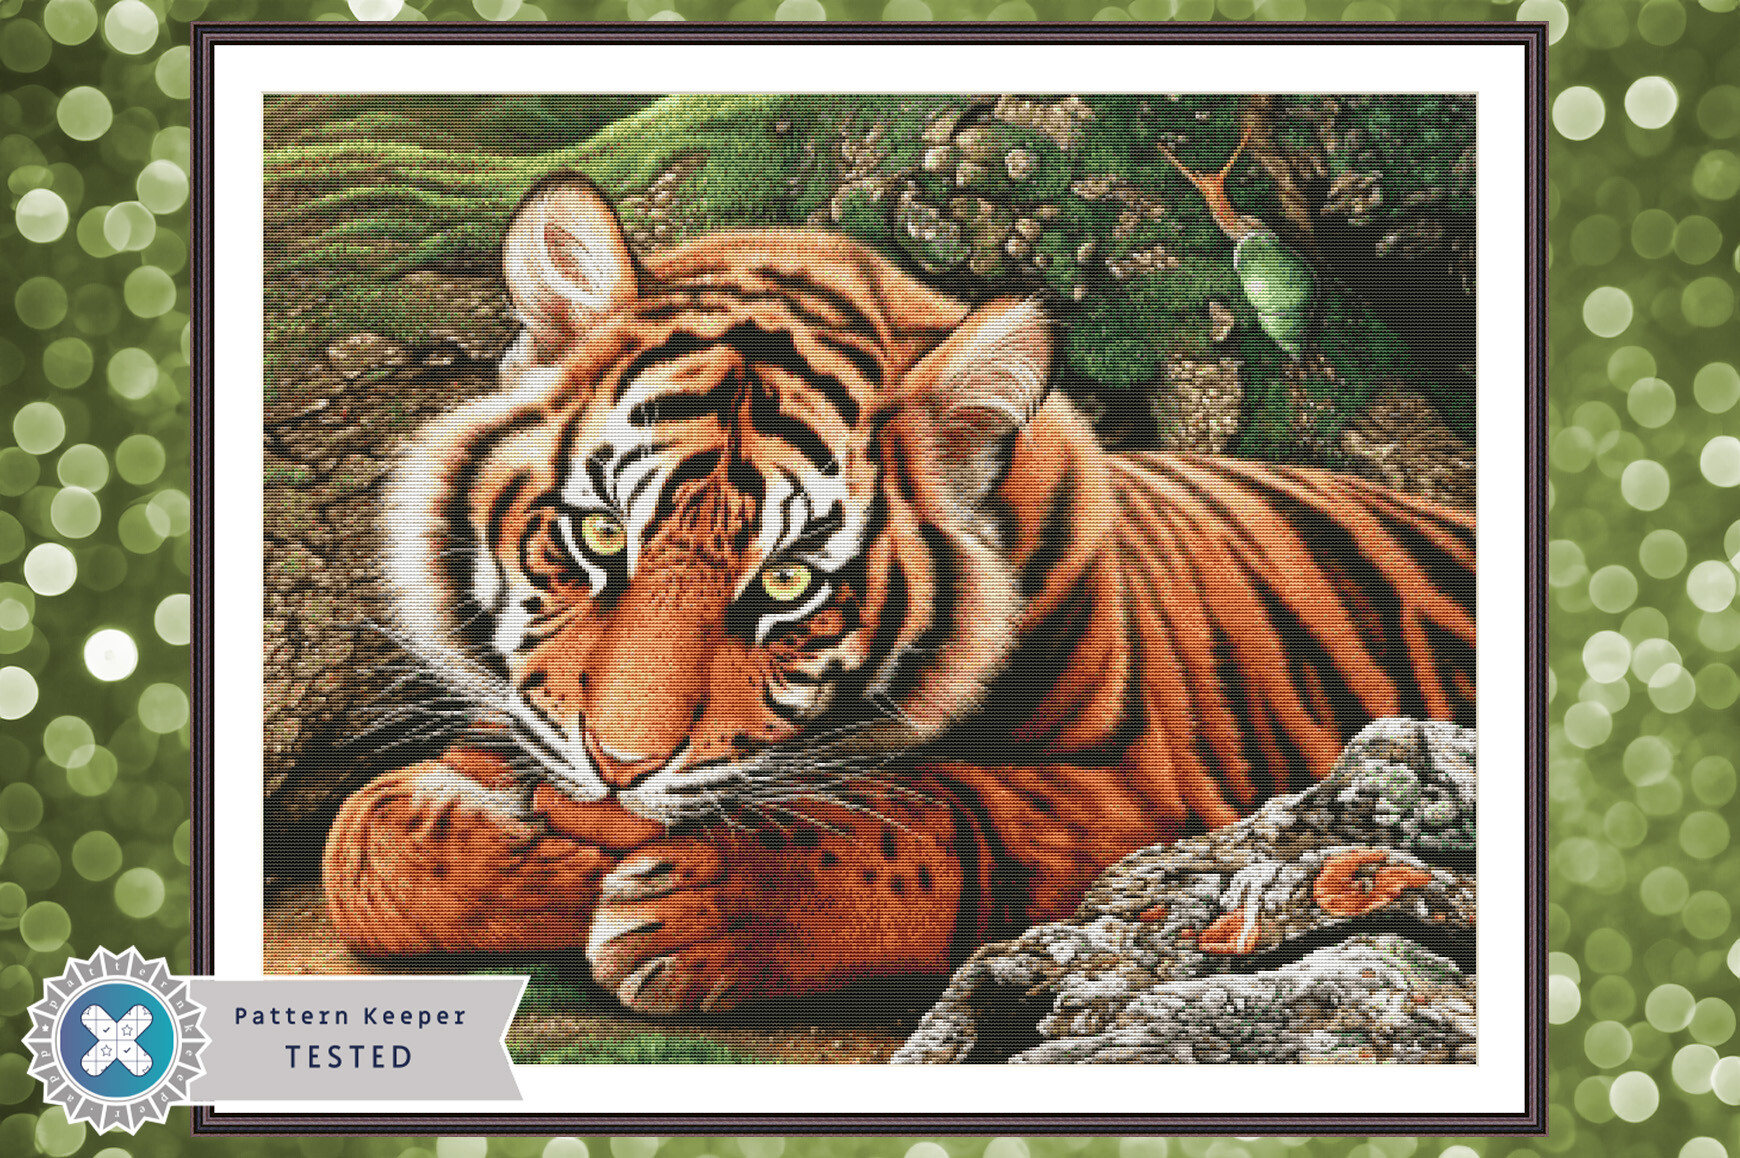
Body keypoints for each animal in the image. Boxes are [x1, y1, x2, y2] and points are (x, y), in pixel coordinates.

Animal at [320, 173, 1476, 1016]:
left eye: (787, 581)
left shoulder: (1149, 786)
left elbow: (941, 820)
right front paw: (535, 847)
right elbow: (360, 843)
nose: (620, 767)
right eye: (602, 534)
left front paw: (691, 907)